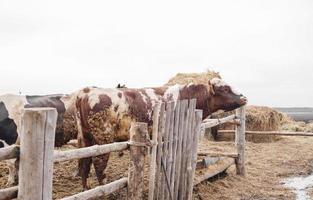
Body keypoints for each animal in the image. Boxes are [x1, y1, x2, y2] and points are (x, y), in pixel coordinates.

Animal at [75, 77, 246, 188]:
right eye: (225, 88)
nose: (244, 97)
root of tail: (86, 92)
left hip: (85, 138)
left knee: (84, 162)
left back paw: (85, 188)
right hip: (103, 137)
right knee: (98, 164)